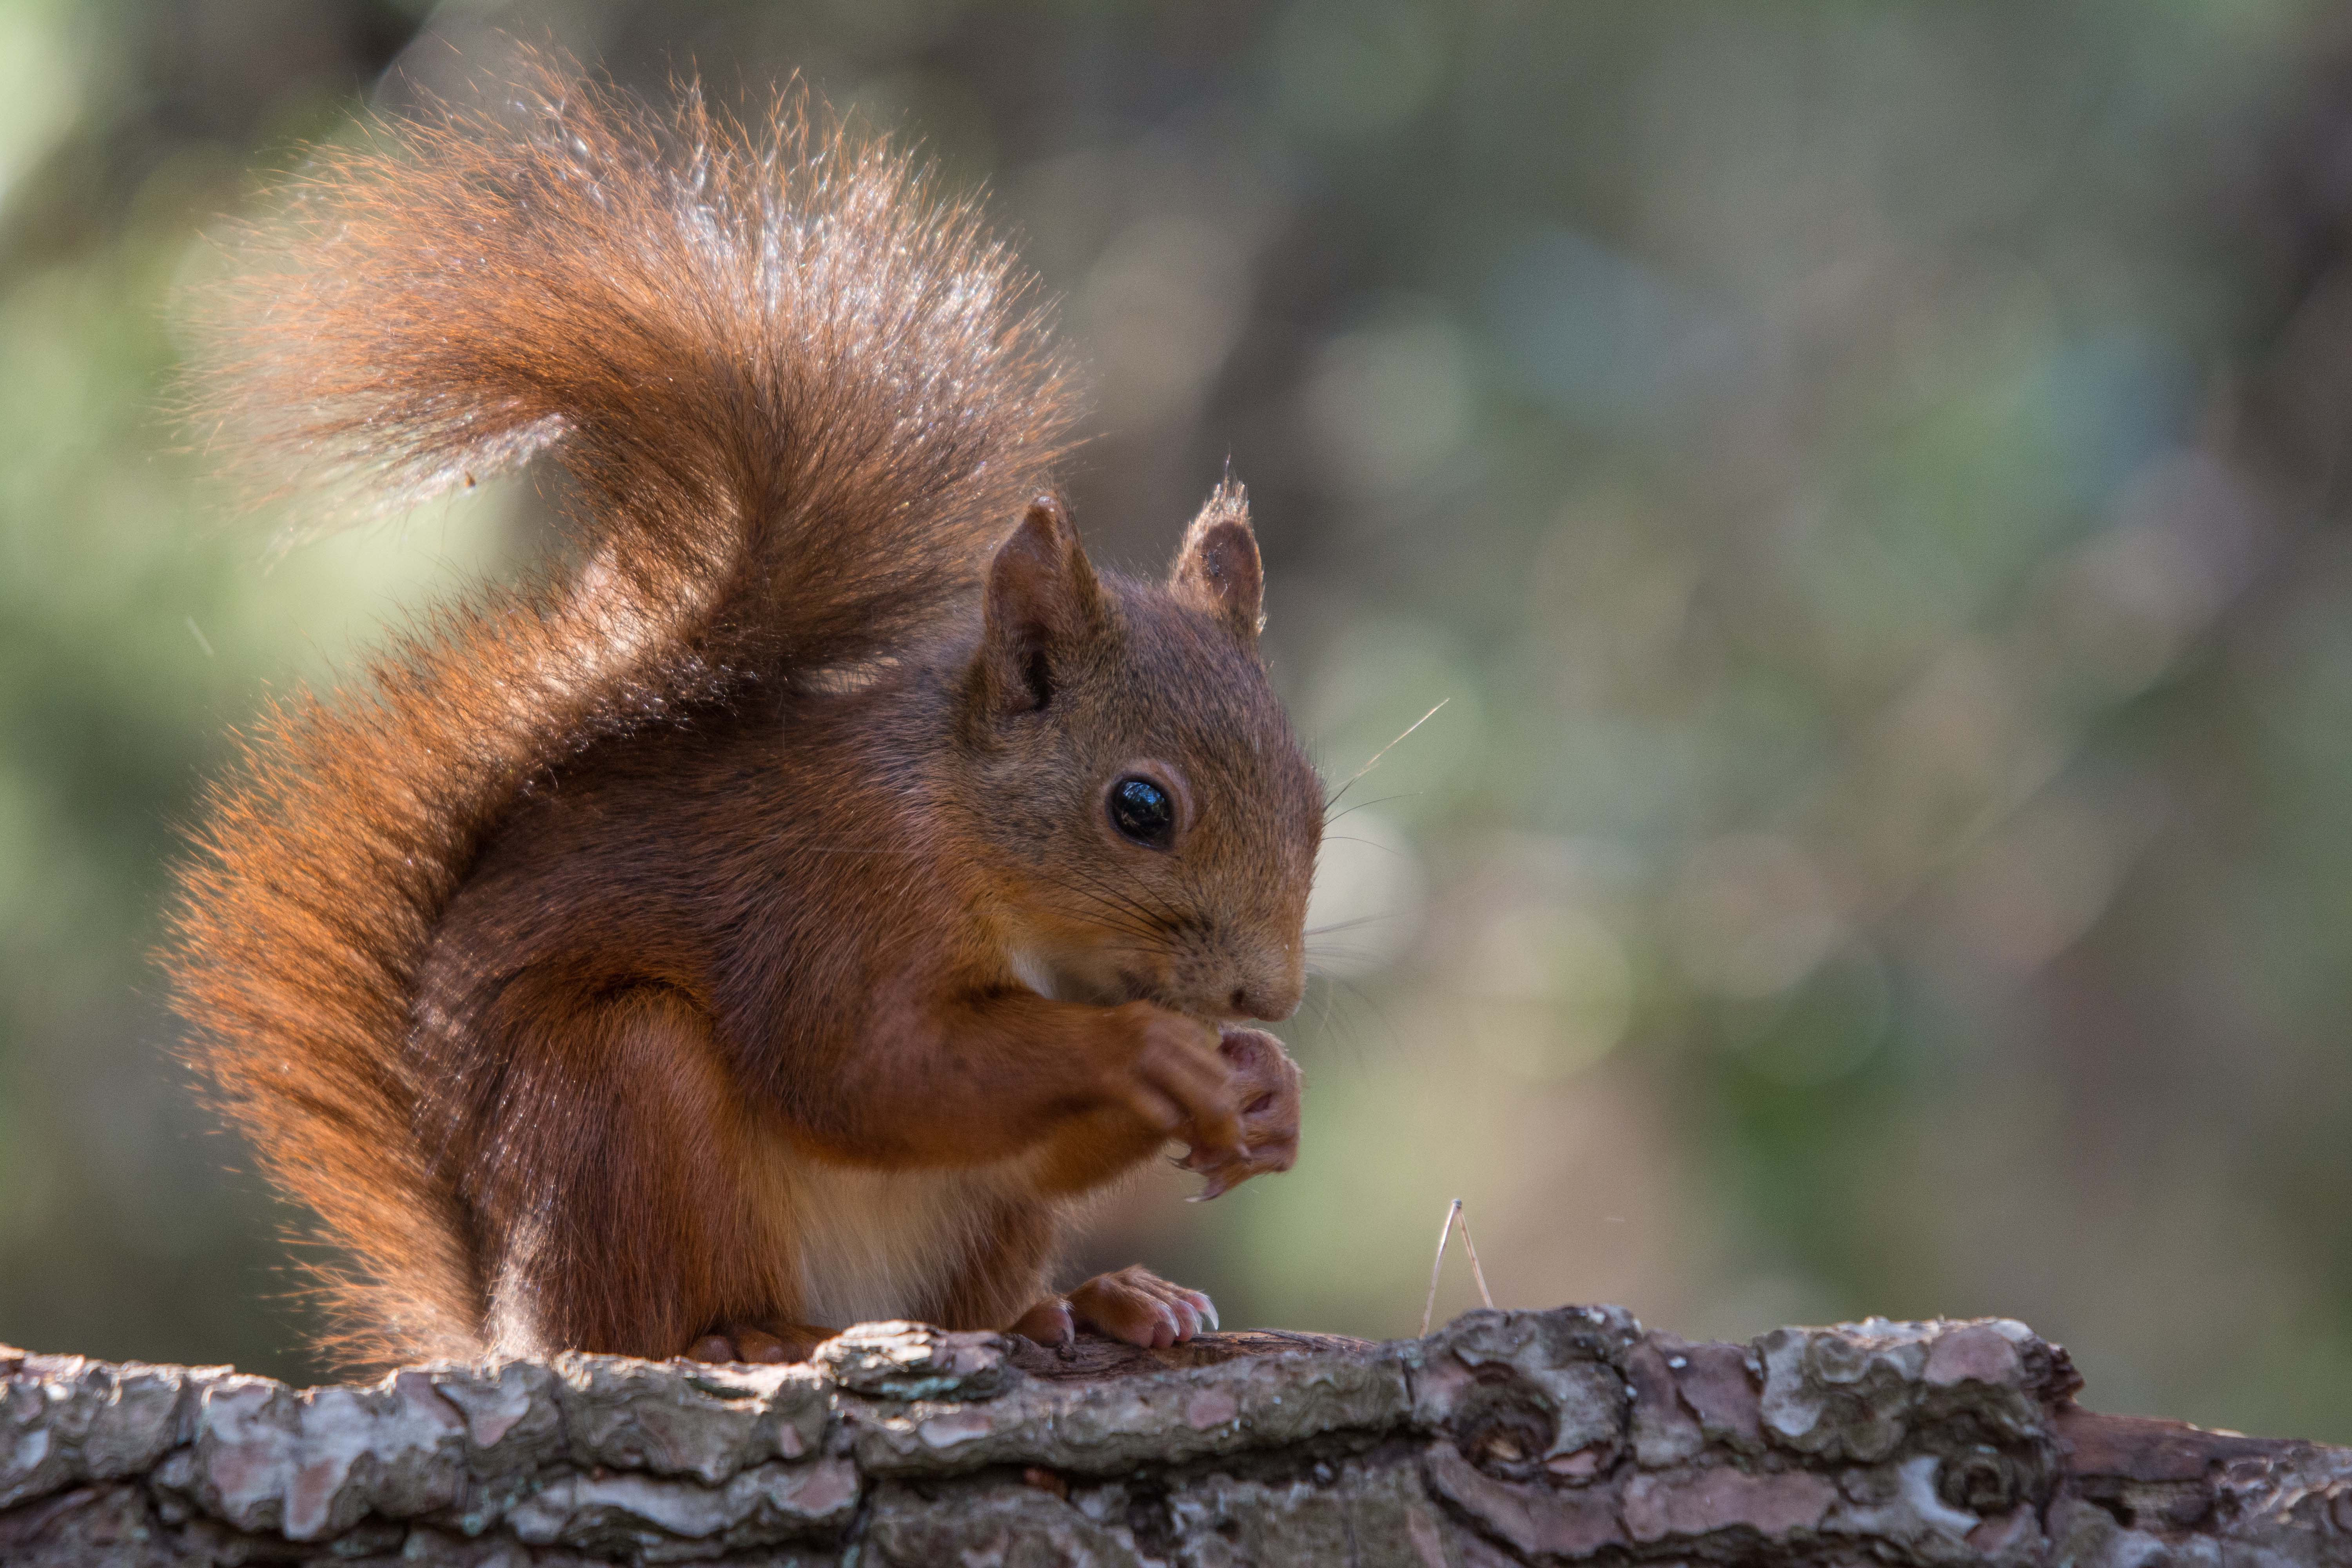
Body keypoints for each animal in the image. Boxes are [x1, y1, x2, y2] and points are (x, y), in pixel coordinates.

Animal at [171, 70, 1327, 1373]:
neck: (975, 839)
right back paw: (754, 1333)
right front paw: (1144, 1051)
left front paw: (1269, 1093)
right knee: (641, 1317)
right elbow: (865, 1072)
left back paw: (1086, 1304)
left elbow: (1013, 1133)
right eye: (1138, 808)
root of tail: (506, 1321)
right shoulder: (834, 897)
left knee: (978, 1285)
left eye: (1314, 801)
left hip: (965, 1226)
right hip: (618, 1097)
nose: (1267, 998)